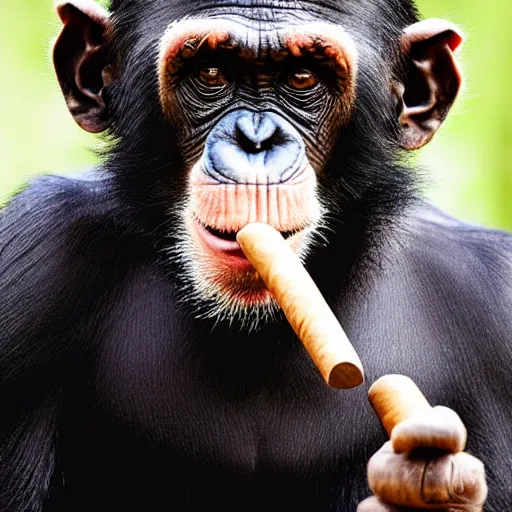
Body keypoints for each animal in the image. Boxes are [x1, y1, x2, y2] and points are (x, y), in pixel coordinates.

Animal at [1, 0, 512, 510]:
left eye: (302, 78)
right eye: (211, 73)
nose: (255, 141)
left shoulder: (494, 299)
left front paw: (434, 482)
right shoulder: (38, 251)